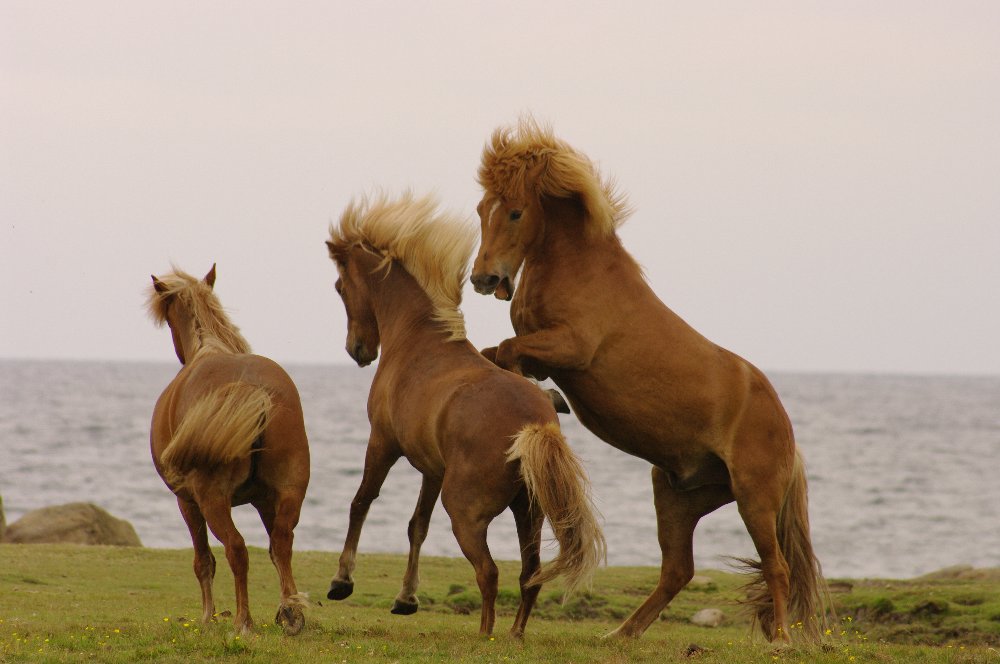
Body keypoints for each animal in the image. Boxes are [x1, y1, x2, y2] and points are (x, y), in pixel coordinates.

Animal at [146, 264, 310, 640]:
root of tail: (253, 388)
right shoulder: (265, 499)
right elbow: (276, 550)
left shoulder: (187, 502)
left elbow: (203, 560)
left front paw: (207, 617)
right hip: (289, 491)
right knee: (282, 542)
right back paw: (291, 612)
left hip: (212, 499)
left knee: (236, 548)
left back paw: (242, 621)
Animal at [324, 192, 604, 640]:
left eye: (339, 286)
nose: (358, 351)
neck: (419, 339)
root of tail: (533, 426)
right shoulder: (432, 469)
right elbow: (417, 525)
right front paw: (406, 598)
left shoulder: (382, 442)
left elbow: (361, 502)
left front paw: (342, 581)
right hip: (529, 514)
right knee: (530, 575)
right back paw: (514, 635)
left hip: (467, 516)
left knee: (489, 573)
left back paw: (486, 635)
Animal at [472, 120, 832, 644]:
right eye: (482, 210)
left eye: (516, 211)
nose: (482, 279)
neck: (580, 271)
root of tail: (787, 433)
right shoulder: (540, 352)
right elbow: (496, 355)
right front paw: (540, 399)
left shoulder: (571, 348)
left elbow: (509, 352)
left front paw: (549, 400)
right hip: (678, 496)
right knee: (677, 571)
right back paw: (620, 635)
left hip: (755, 499)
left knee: (777, 568)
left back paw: (781, 641)